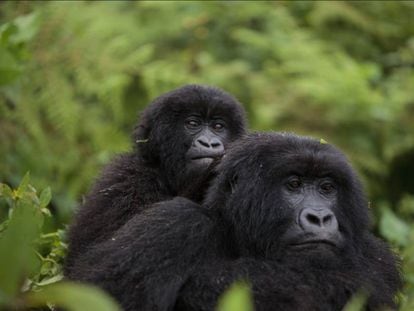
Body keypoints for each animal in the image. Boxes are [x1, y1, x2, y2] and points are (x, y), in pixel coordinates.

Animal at [67, 132, 402, 311]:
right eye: (293, 185)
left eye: (327, 188)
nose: (319, 216)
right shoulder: (175, 224)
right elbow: (97, 291)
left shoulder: (376, 257)